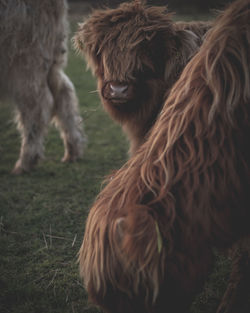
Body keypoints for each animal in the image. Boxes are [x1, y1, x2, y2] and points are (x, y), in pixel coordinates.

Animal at [0, 0, 86, 173]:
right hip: (52, 56)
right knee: (64, 94)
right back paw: (73, 151)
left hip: (24, 59)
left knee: (37, 106)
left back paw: (26, 161)